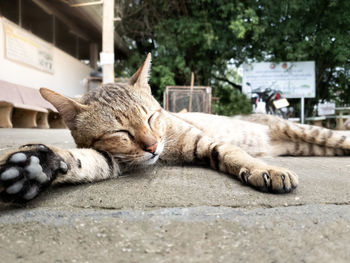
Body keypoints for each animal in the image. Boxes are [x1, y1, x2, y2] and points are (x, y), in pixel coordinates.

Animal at [0, 53, 350, 202]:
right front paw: (35, 166)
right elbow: (83, 161)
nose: (153, 146)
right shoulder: (116, 159)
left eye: (151, 117)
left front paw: (266, 170)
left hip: (308, 133)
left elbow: (237, 155)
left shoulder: (208, 142)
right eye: (121, 134)